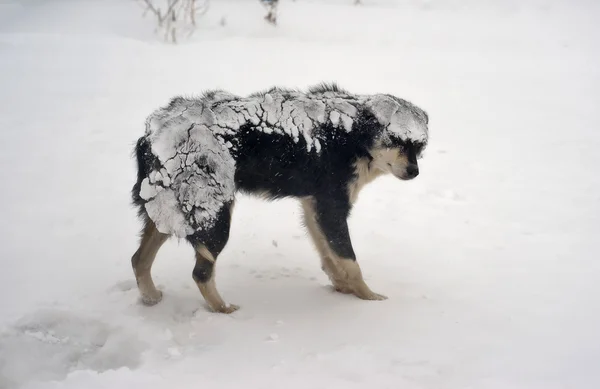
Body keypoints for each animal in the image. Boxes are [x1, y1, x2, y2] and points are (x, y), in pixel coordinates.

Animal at [132, 82, 432, 312]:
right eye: (395, 140)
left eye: (419, 145)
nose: (415, 171)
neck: (351, 134)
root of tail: (152, 134)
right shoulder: (332, 208)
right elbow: (350, 261)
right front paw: (369, 300)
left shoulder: (314, 206)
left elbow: (329, 258)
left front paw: (343, 289)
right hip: (215, 220)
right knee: (200, 274)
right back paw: (225, 311)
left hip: (167, 215)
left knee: (139, 260)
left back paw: (151, 299)